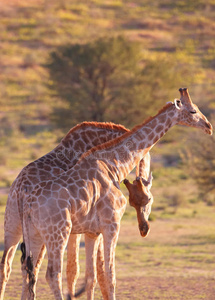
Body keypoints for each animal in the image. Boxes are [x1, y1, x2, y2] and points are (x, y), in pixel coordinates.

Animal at [21, 88, 212, 298]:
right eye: (193, 110)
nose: (208, 126)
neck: (115, 164)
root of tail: (28, 205)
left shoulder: (93, 230)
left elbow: (91, 277)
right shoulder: (112, 224)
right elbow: (109, 276)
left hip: (34, 234)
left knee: (30, 272)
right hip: (58, 233)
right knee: (52, 274)